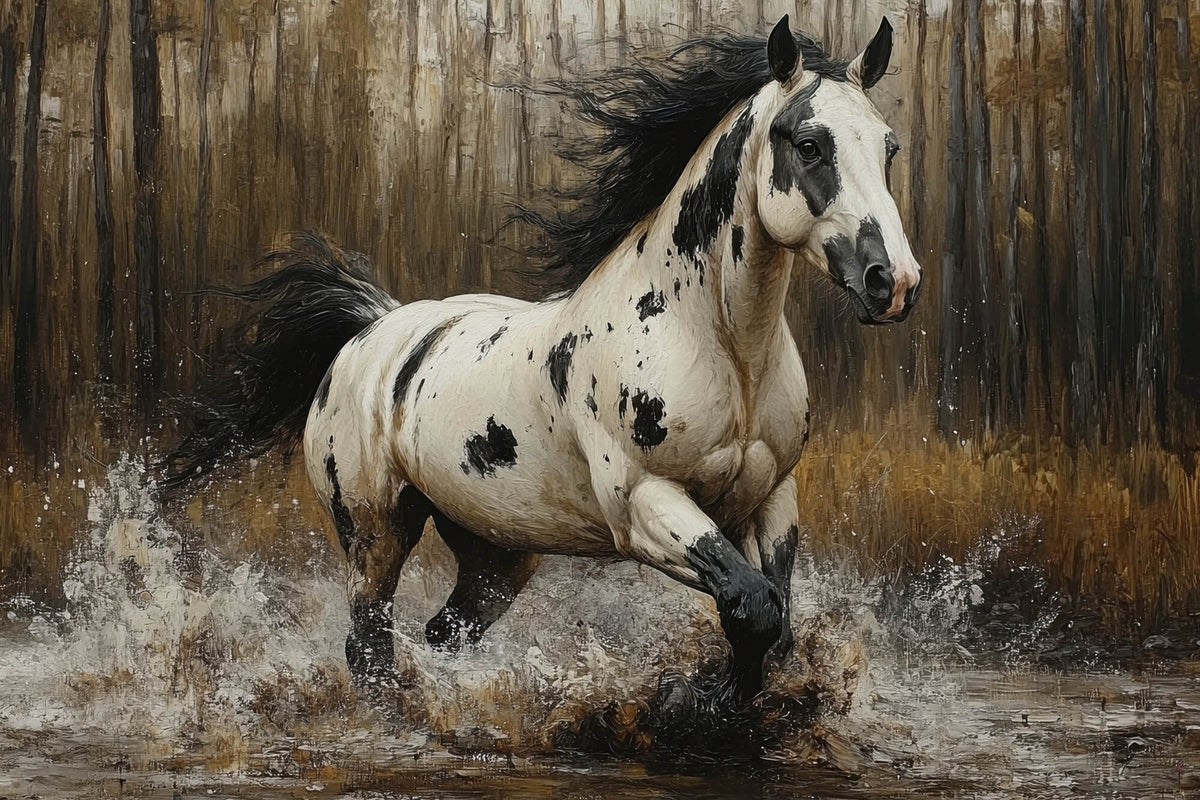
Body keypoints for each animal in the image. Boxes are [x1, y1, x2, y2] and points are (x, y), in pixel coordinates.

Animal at [161, 16, 922, 707]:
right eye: (810, 144)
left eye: (888, 147)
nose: (893, 282)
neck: (720, 346)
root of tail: (371, 326)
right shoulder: (645, 505)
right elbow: (755, 608)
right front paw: (700, 701)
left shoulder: (770, 499)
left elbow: (770, 622)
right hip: (375, 534)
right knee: (367, 645)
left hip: (496, 553)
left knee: (444, 632)